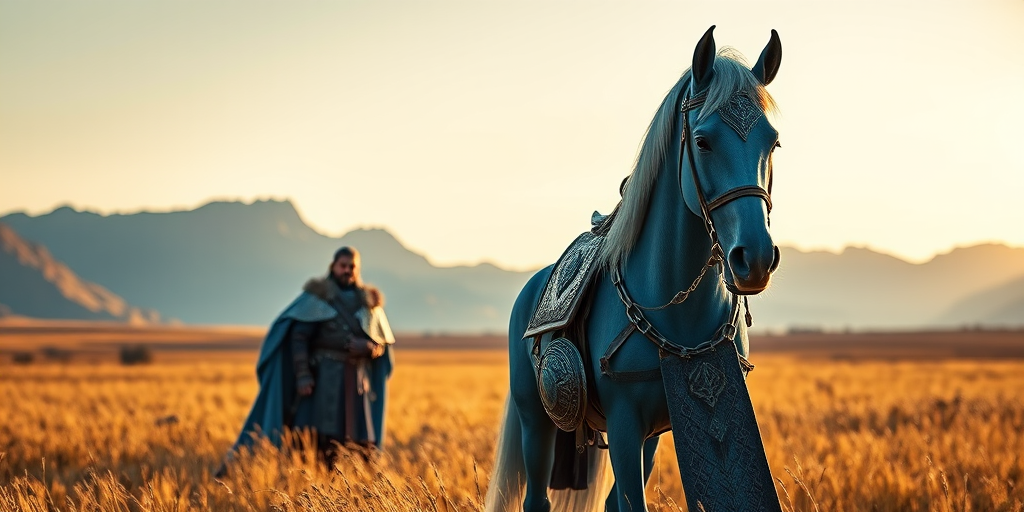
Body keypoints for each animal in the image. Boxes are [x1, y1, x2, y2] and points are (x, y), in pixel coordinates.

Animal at [485, 26, 784, 512]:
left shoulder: (659, 428)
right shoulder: (625, 426)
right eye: (702, 141)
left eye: (772, 142)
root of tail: (531, 288)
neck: (677, 313)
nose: (754, 258)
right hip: (535, 419)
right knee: (536, 497)